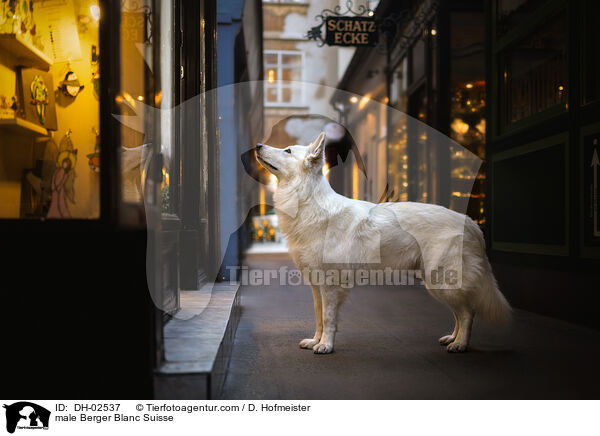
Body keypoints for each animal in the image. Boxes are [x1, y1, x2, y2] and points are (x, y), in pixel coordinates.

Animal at [255, 133, 508, 354]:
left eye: (287, 151)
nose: (257, 145)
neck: (309, 201)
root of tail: (472, 223)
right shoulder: (317, 286)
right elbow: (319, 317)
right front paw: (316, 341)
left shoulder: (330, 285)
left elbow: (328, 318)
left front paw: (326, 345)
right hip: (437, 283)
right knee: (460, 312)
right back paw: (452, 338)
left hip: (442, 281)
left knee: (467, 312)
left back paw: (461, 344)